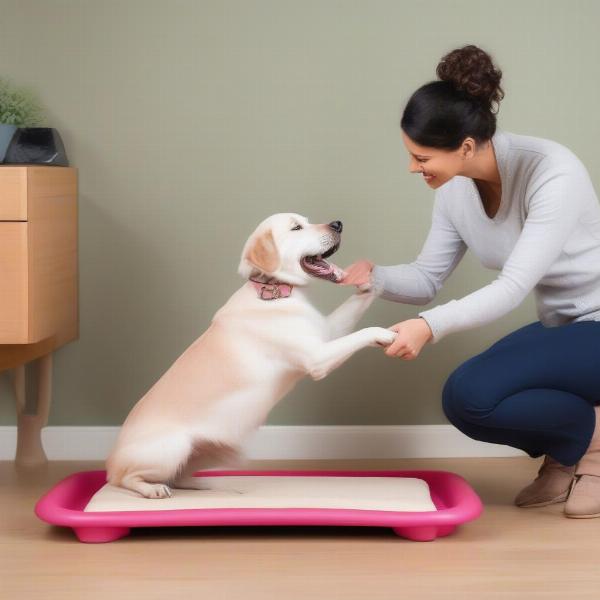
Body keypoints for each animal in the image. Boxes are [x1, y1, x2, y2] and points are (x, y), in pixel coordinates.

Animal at [106, 213, 398, 500]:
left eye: (307, 220)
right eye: (296, 227)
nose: (338, 224)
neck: (276, 292)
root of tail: (111, 459)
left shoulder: (327, 331)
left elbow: (356, 305)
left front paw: (370, 281)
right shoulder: (317, 358)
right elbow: (363, 333)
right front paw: (385, 334)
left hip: (222, 449)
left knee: (177, 478)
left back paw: (205, 484)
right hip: (173, 447)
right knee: (127, 479)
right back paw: (152, 489)